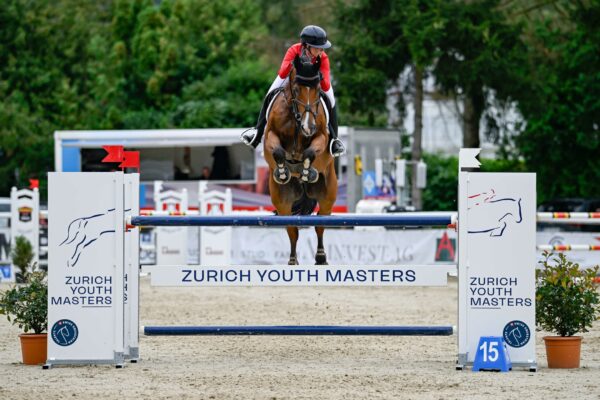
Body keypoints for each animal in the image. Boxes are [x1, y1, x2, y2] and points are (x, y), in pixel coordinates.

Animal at [262, 54, 338, 266]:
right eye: (296, 89)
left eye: (318, 91)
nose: (308, 127)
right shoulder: (270, 135)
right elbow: (278, 152)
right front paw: (282, 172)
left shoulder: (321, 137)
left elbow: (310, 152)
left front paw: (306, 171)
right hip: (282, 201)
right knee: (292, 229)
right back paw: (292, 260)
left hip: (328, 194)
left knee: (320, 223)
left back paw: (320, 257)